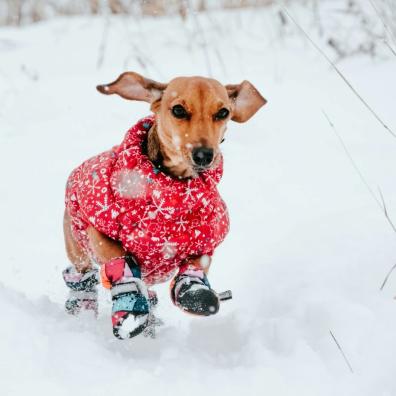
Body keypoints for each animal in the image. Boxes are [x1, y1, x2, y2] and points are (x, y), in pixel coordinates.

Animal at [62, 72, 266, 338]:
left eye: (223, 112)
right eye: (178, 110)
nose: (204, 155)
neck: (170, 198)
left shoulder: (207, 239)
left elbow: (196, 265)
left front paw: (194, 290)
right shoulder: (98, 229)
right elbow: (118, 257)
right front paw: (130, 302)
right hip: (77, 248)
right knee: (83, 278)